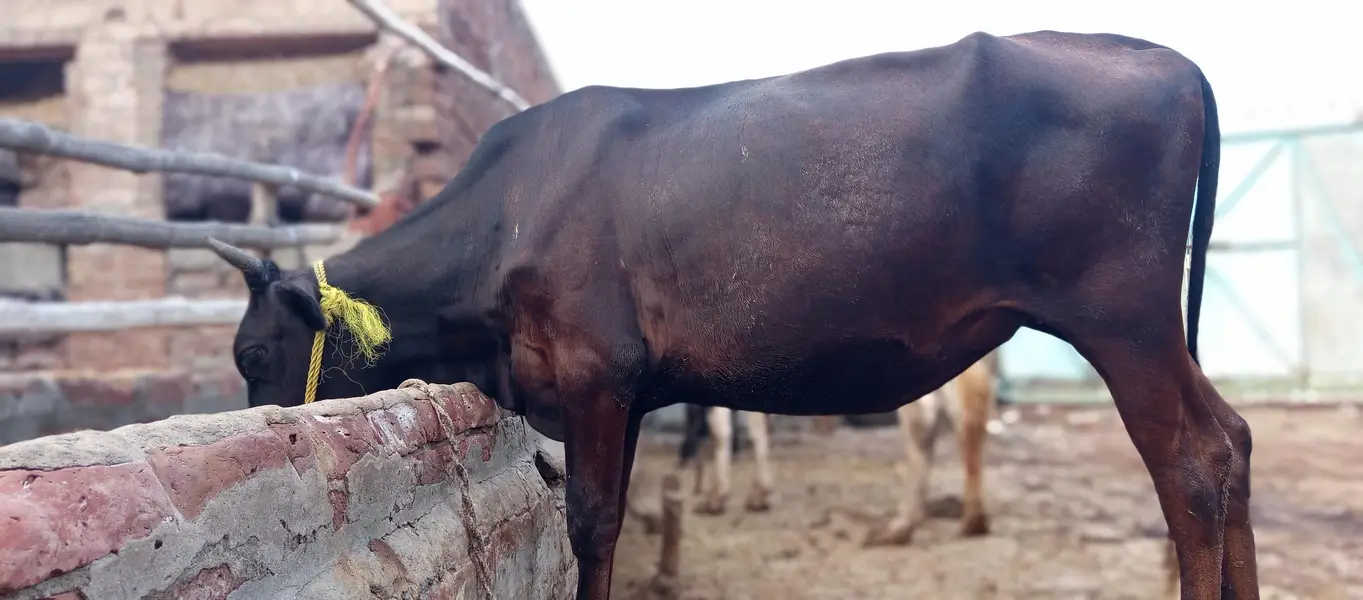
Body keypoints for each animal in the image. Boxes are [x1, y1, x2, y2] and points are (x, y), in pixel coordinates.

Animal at [208, 30, 1256, 600]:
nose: (276, 428)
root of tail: (1162, 59)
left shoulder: (593, 374)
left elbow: (592, 524)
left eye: (254, 350)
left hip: (1123, 319)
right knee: (1234, 439)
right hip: (1148, 329)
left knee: (1191, 464)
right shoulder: (627, 392)